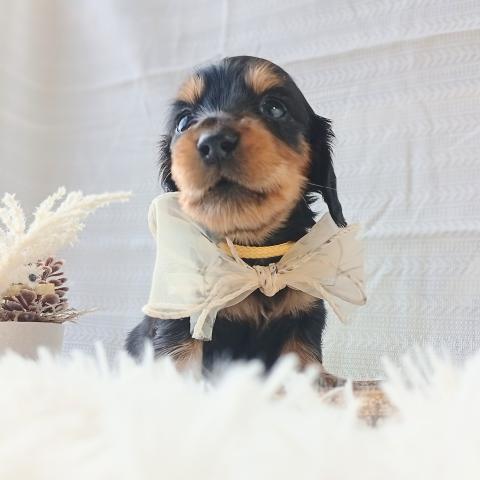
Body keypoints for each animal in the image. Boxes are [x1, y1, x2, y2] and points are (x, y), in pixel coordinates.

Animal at [126, 56, 346, 379]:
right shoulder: (181, 320)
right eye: (183, 122)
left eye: (274, 108)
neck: (251, 252)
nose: (214, 142)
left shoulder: (303, 319)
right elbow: (181, 365)